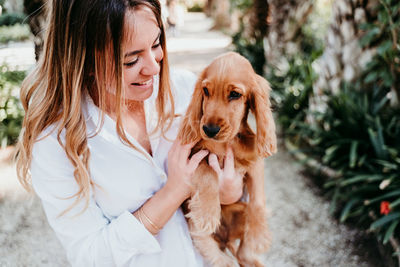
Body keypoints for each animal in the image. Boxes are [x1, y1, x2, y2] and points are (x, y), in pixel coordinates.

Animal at [179, 52, 276, 267]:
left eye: (234, 94)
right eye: (206, 91)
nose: (209, 130)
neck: (226, 143)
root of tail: (226, 239)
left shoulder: (255, 165)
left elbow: (258, 199)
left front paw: (258, 235)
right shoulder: (196, 155)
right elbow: (208, 173)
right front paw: (208, 213)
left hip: (241, 210)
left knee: (242, 253)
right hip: (194, 224)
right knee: (210, 247)